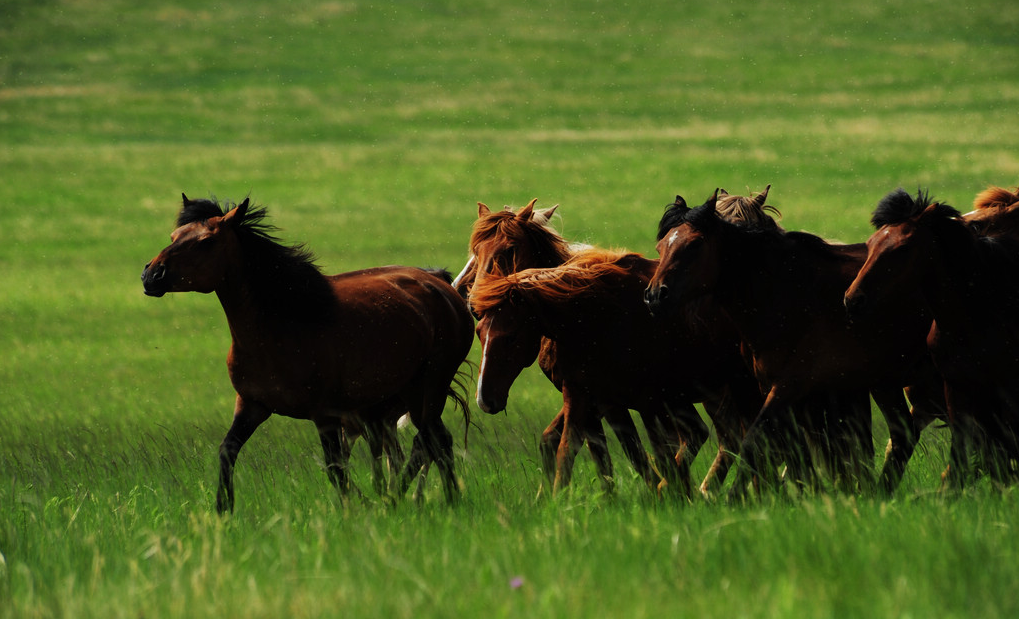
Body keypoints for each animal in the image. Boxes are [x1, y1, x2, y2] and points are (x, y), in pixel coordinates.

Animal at [141, 195, 474, 512]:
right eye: (173, 236)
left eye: (206, 242)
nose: (151, 276)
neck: (283, 325)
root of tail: (440, 284)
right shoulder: (251, 405)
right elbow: (227, 452)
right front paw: (224, 510)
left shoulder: (325, 414)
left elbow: (336, 469)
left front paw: (357, 509)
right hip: (407, 396)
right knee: (435, 441)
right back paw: (435, 499)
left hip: (428, 388)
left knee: (431, 441)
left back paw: (406, 499)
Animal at [470, 248, 762, 496]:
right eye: (479, 333)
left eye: (510, 337)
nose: (485, 400)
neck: (597, 315)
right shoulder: (585, 395)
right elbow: (580, 448)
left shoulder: (642, 400)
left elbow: (647, 452)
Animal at [645, 189, 943, 498]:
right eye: (660, 247)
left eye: (694, 244)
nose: (655, 295)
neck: (787, 291)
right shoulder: (774, 389)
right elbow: (790, 448)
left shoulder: (789, 387)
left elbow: (758, 441)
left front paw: (738, 497)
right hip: (888, 381)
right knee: (902, 435)